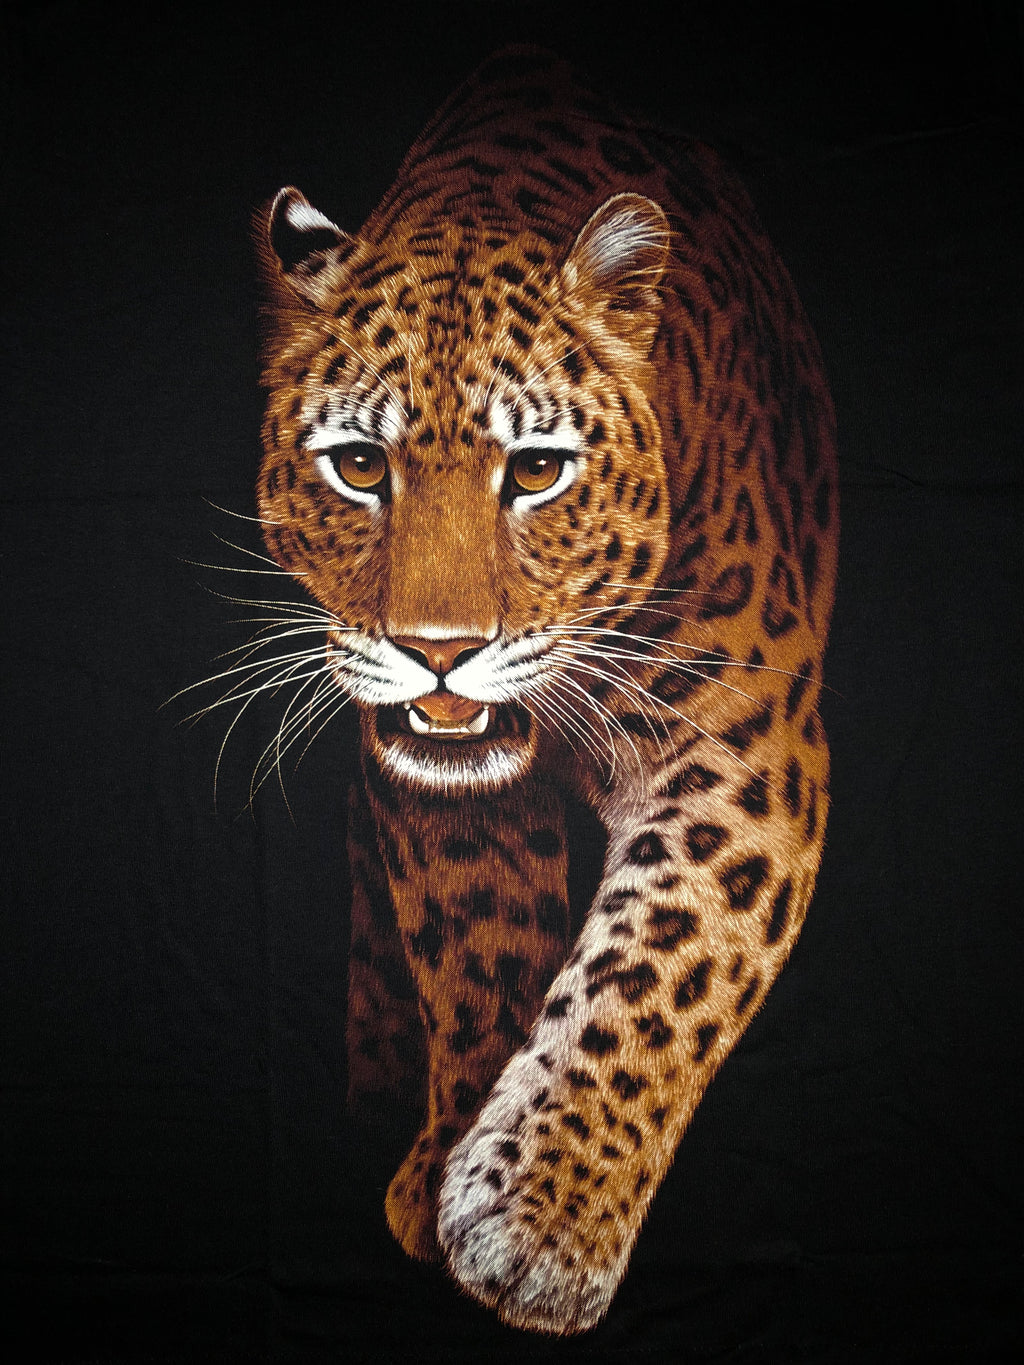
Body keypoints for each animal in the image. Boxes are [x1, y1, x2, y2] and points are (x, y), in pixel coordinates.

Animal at [251, 46, 838, 1335]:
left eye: (535, 471)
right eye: (357, 466)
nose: (438, 649)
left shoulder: (748, 744)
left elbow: (660, 964)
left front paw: (546, 1224)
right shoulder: (429, 776)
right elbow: (478, 945)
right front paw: (454, 1174)